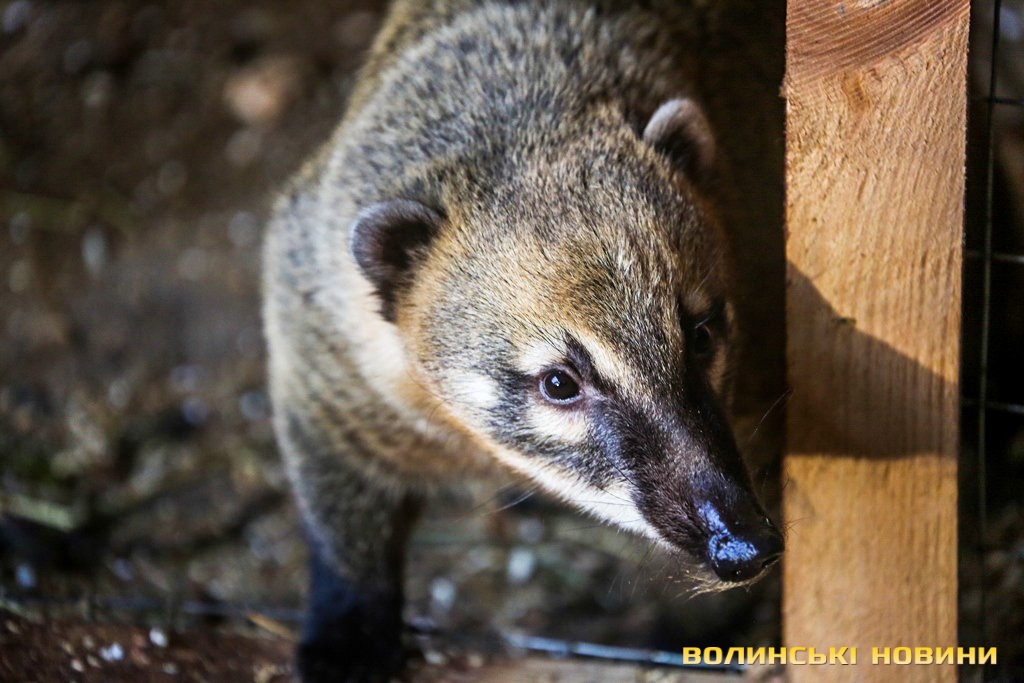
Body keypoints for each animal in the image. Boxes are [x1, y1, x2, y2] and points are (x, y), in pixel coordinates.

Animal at [262, 0, 784, 679]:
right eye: (559, 382)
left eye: (699, 336)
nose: (745, 545)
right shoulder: (323, 306)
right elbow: (330, 451)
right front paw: (347, 621)